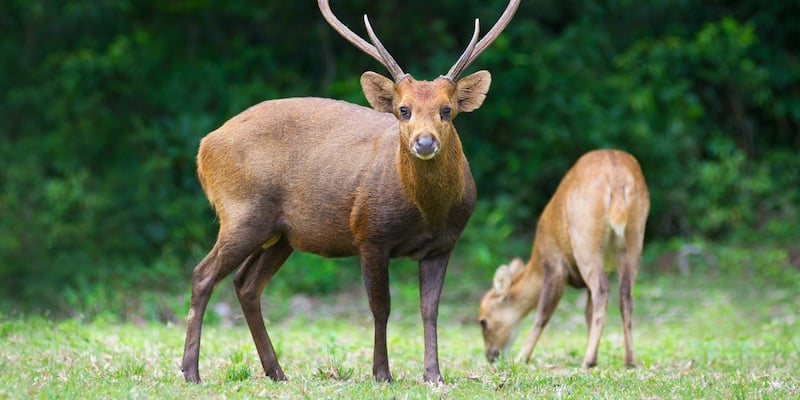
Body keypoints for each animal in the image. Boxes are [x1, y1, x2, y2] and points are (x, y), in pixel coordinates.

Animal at [180, 0, 521, 384]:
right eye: (403, 110)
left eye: (447, 110)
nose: (424, 142)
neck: (427, 213)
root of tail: (205, 146)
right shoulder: (369, 233)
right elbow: (381, 307)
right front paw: (382, 373)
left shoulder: (443, 244)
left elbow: (430, 310)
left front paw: (433, 375)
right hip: (241, 212)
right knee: (203, 274)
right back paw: (191, 371)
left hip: (282, 233)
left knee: (246, 283)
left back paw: (276, 371)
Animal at [477, 149, 650, 370]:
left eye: (483, 321)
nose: (491, 356)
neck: (537, 259)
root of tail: (617, 179)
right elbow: (587, 312)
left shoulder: (554, 264)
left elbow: (543, 313)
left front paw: (522, 358)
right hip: (635, 237)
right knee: (625, 295)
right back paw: (629, 360)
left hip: (585, 238)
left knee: (602, 291)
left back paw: (589, 360)